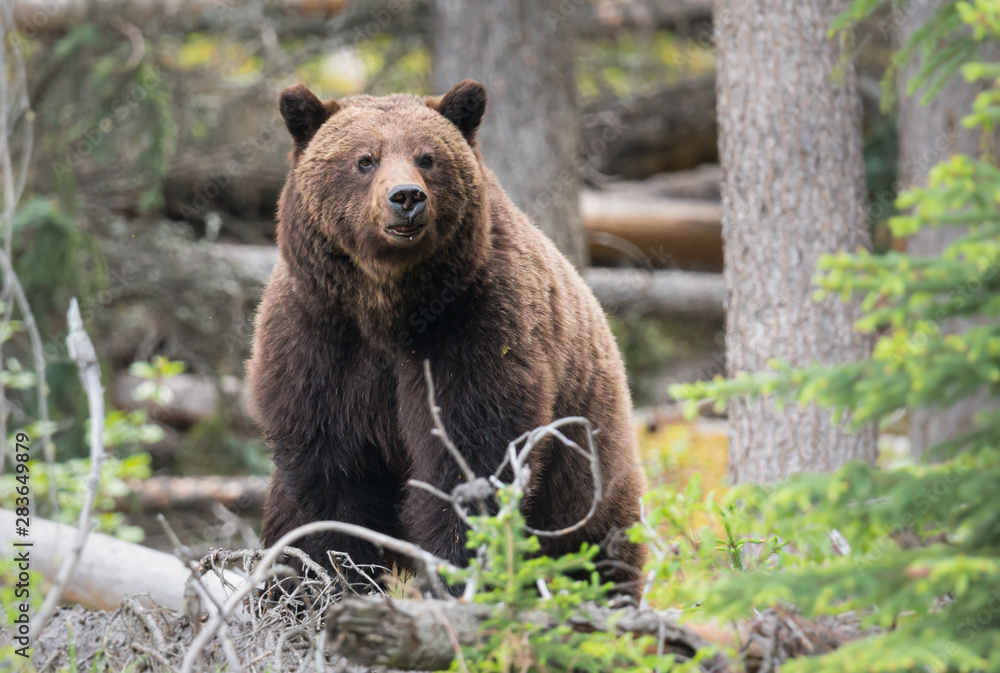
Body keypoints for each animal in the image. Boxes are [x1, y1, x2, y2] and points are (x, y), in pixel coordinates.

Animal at [246, 79, 647, 597]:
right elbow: (331, 475)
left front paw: (457, 573)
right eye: (364, 159)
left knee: (596, 551)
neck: (387, 306)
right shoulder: (317, 338)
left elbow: (469, 457)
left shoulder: (476, 327)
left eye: (427, 157)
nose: (406, 197)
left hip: (586, 468)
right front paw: (335, 574)